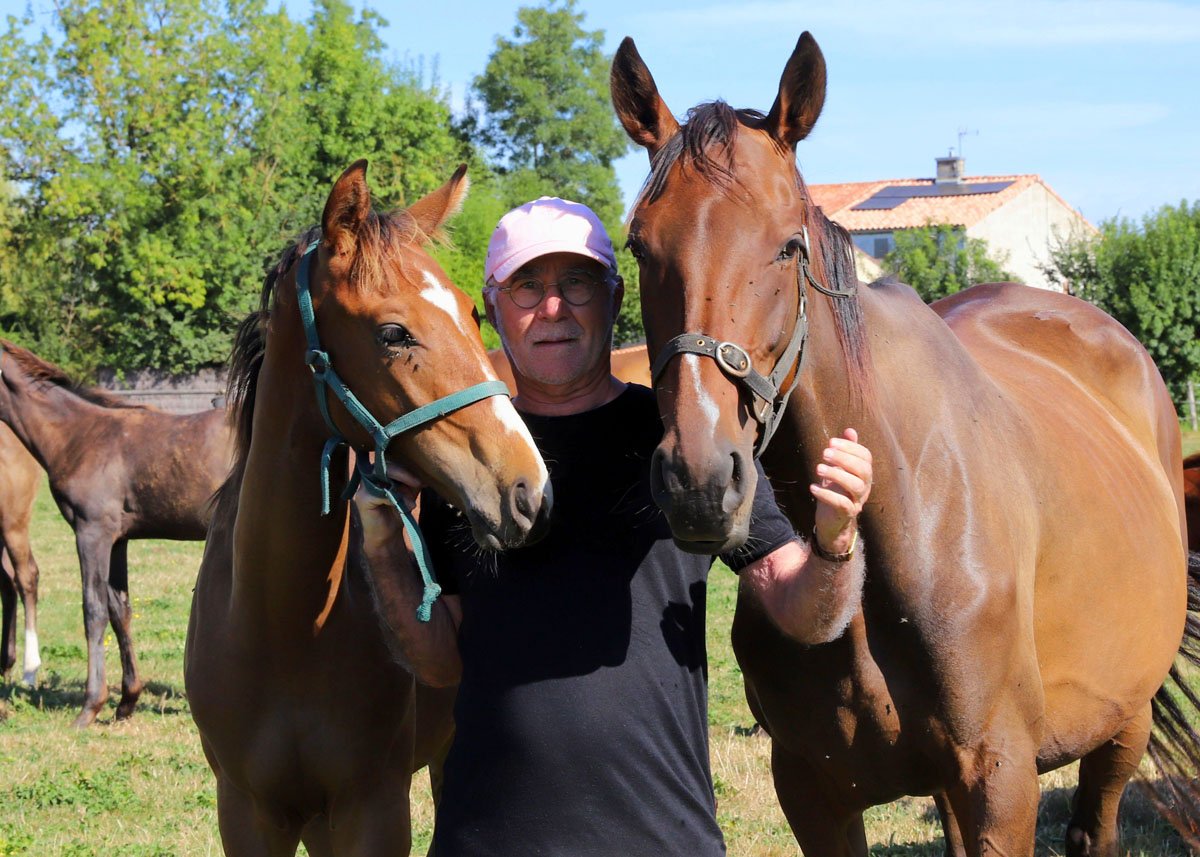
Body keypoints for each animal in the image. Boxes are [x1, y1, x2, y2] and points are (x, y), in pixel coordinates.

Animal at [0, 340, 233, 727]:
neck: (78, 435)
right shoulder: (118, 539)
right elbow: (118, 609)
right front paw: (126, 702)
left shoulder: (91, 532)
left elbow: (92, 610)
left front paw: (89, 707)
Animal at [185, 161, 550, 856]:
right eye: (392, 333)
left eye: (473, 313)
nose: (530, 492)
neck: (284, 626)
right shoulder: (247, 812)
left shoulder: (370, 809)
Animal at [611, 33, 1197, 857]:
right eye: (639, 244)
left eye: (788, 247)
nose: (698, 479)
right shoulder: (813, 789)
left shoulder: (1001, 782)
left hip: (1122, 725)